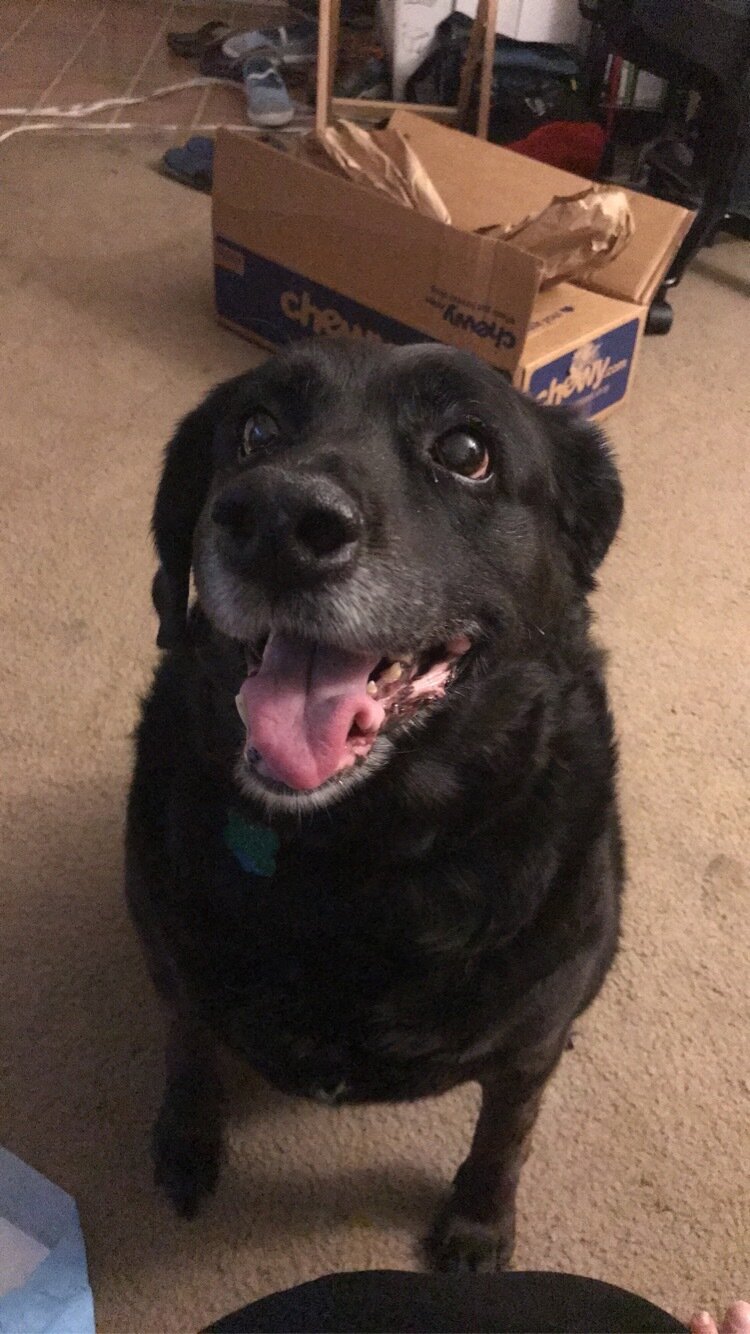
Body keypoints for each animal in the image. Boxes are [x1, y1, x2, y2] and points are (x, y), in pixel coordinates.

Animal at [125, 341, 621, 1269]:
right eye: (255, 430)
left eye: (466, 451)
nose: (277, 519)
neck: (357, 855)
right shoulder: (174, 968)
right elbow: (189, 1051)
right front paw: (187, 1140)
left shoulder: (527, 1050)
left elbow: (505, 1135)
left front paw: (477, 1224)